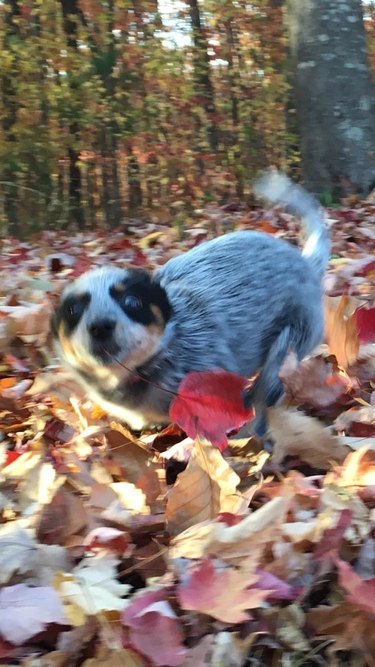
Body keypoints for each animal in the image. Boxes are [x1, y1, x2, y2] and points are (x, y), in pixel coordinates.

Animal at [52, 172, 328, 444]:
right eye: (73, 310)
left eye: (132, 302)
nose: (100, 326)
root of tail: (305, 261)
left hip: (292, 336)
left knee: (269, 380)